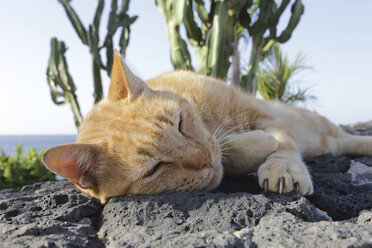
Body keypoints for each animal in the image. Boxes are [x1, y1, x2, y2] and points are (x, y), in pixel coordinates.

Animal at [42, 50, 372, 203]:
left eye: (180, 123)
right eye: (154, 169)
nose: (204, 158)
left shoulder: (259, 112)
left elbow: (283, 142)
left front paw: (284, 166)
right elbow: (236, 152)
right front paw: (249, 146)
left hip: (313, 127)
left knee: (343, 139)